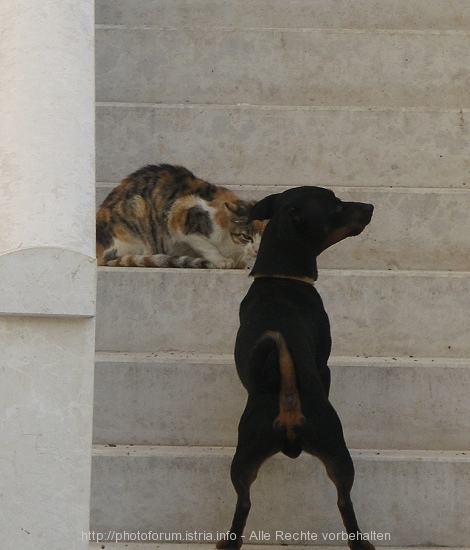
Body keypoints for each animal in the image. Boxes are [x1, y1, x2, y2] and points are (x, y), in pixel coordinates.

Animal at [217, 187, 374, 550]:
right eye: (337, 207)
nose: (371, 206)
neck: (280, 279)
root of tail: (288, 397)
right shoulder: (324, 364)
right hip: (337, 451)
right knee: (344, 502)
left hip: (245, 459)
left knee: (243, 502)